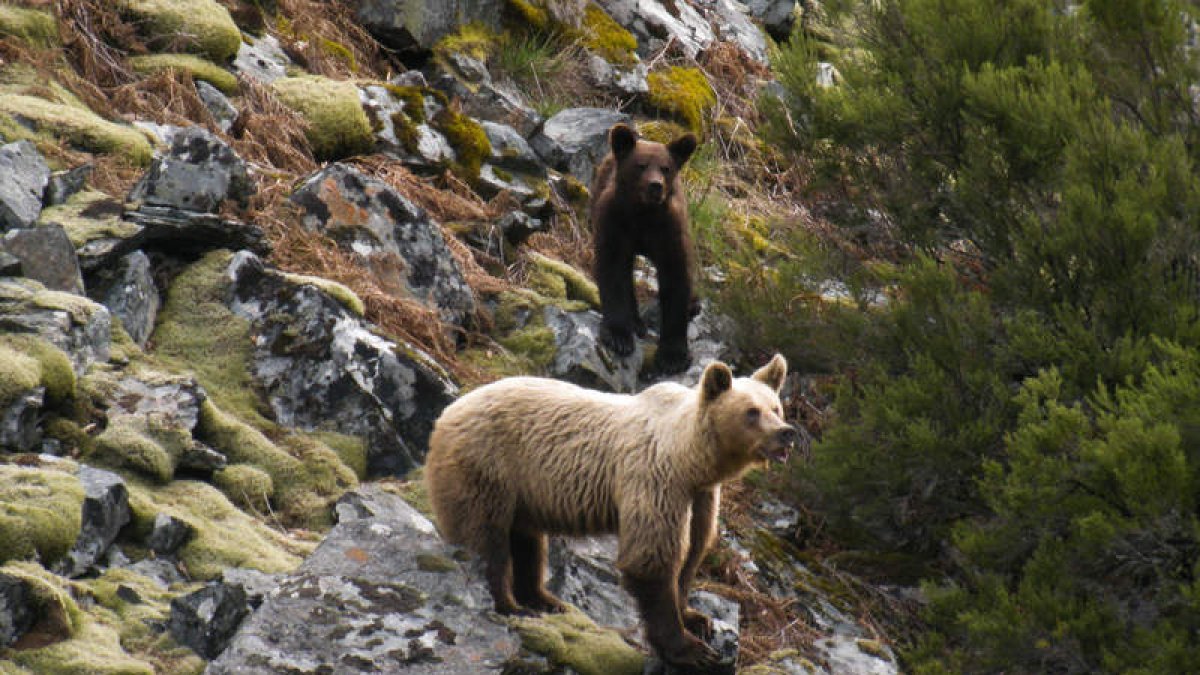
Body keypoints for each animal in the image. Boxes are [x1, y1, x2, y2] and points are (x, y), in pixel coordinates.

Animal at [424, 355, 798, 672]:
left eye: (776, 407)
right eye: (751, 412)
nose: (786, 433)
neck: (690, 460)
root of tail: (446, 413)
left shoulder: (701, 496)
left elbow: (693, 550)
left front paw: (696, 617)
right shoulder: (654, 480)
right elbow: (651, 559)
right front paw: (689, 648)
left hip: (523, 493)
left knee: (528, 542)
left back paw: (545, 600)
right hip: (487, 468)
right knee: (488, 539)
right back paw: (512, 605)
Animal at [590, 123, 699, 374]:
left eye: (665, 168)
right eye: (640, 165)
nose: (655, 186)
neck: (643, 214)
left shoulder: (668, 232)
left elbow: (676, 279)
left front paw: (673, 355)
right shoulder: (615, 223)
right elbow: (612, 270)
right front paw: (618, 337)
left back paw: (693, 305)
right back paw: (635, 322)